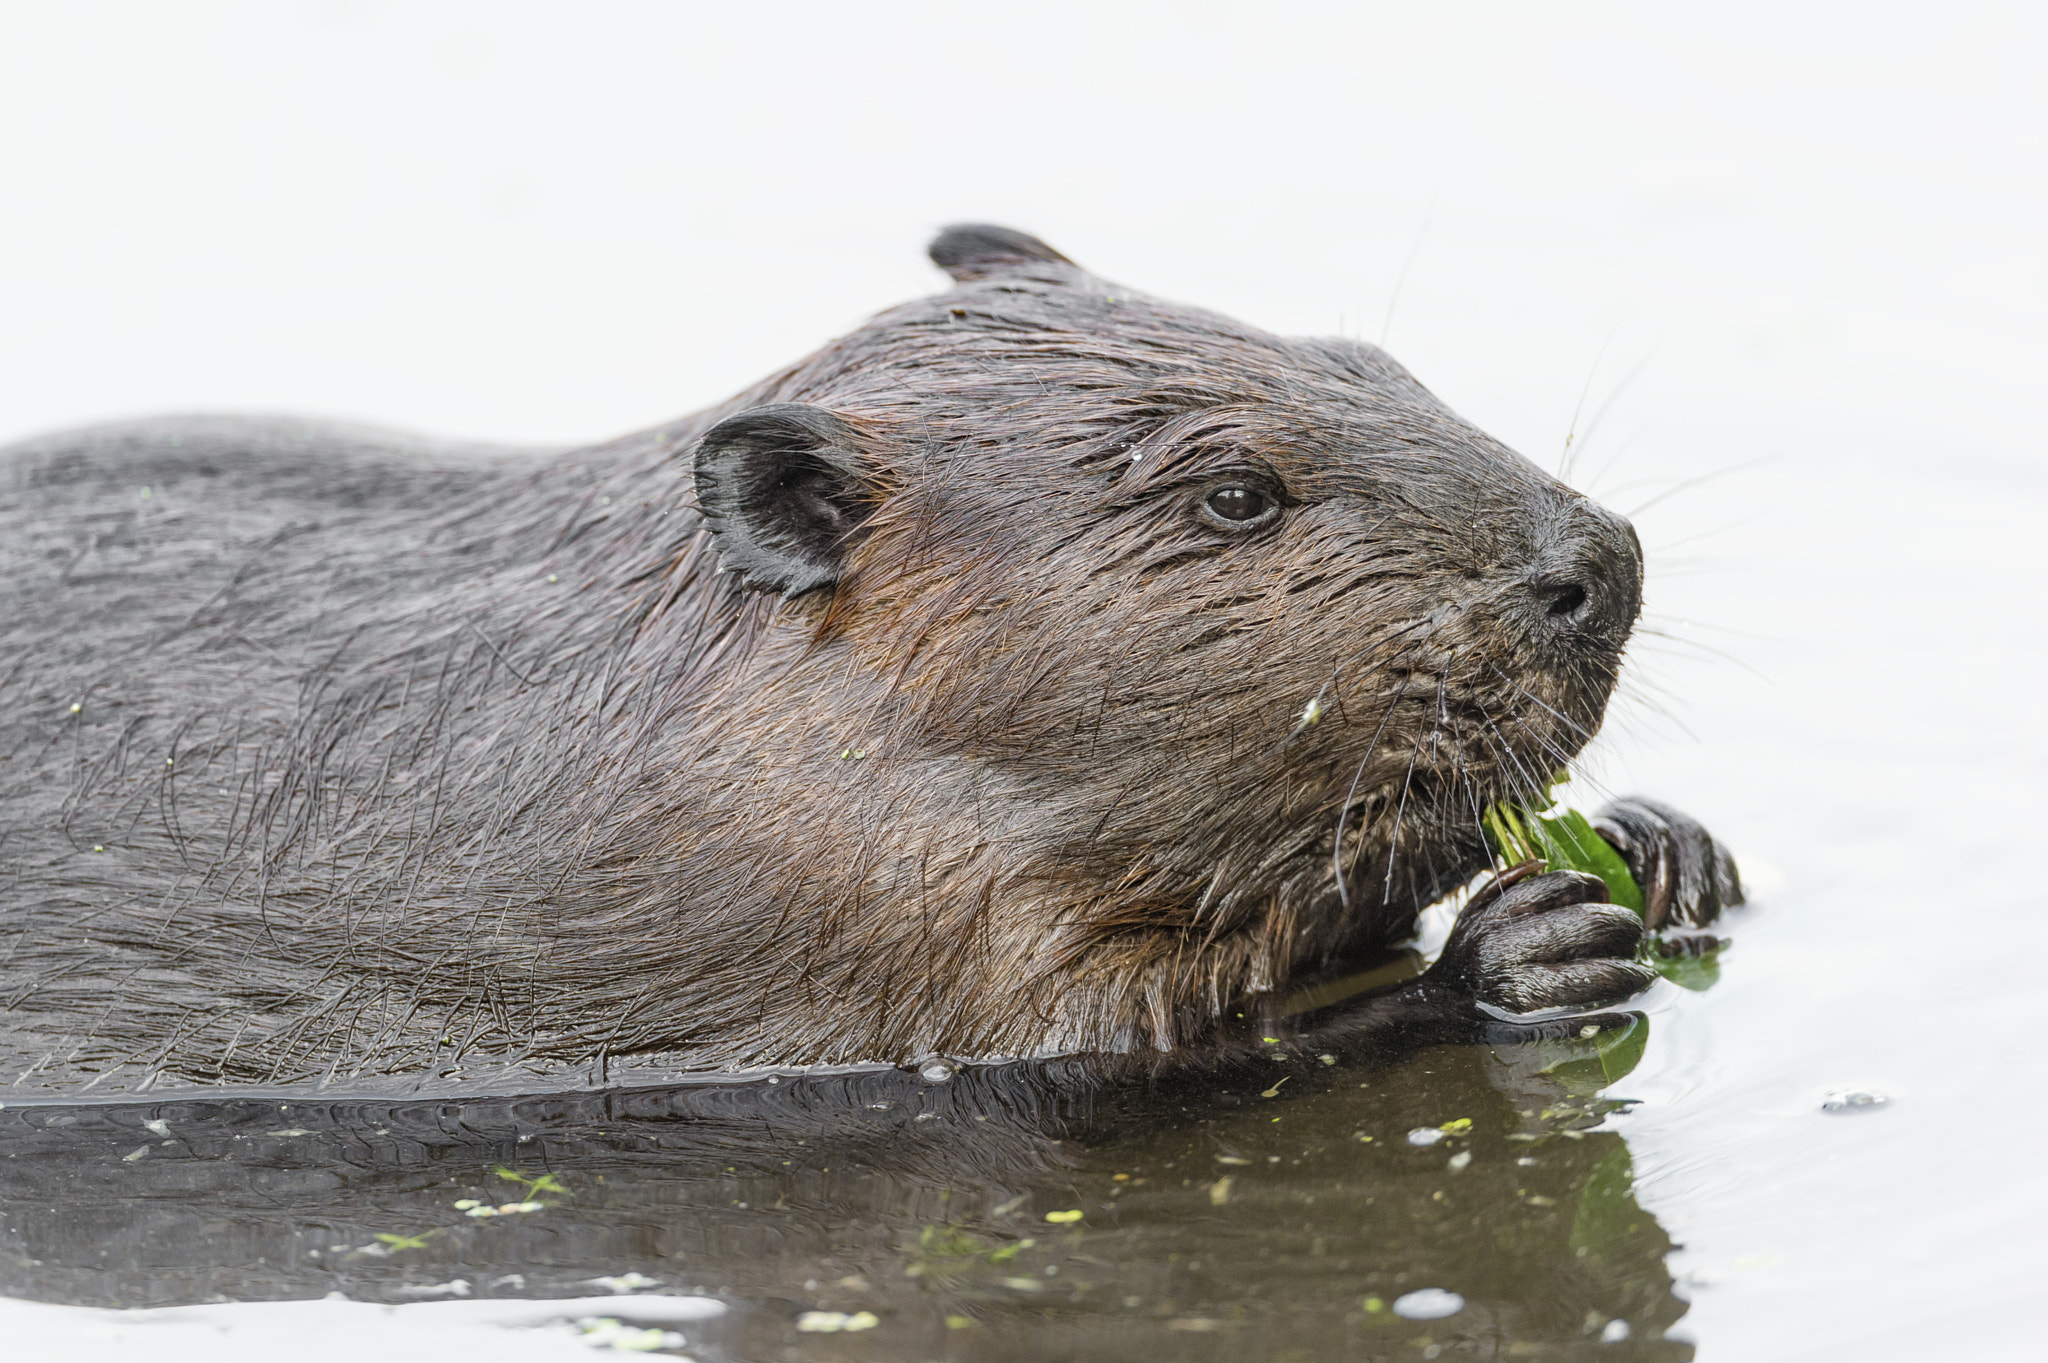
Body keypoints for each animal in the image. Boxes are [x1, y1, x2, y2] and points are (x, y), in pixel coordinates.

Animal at [0, 225, 1736, 1096]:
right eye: (1236, 493)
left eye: (1365, 357)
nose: (1599, 562)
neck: (674, 705)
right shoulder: (861, 925)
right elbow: (1140, 1047)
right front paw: (1530, 943)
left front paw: (1669, 844)